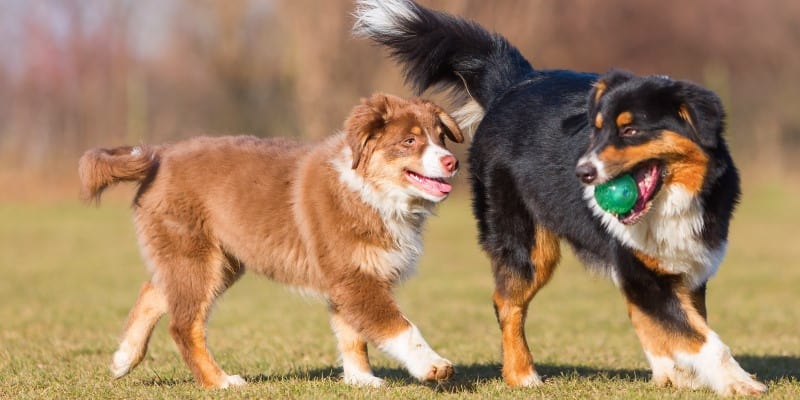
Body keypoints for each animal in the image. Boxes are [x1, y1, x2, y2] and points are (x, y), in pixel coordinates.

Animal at [78, 93, 466, 388]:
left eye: (440, 137)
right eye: (410, 141)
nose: (452, 162)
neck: (371, 192)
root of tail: (158, 155)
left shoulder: (347, 279)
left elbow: (351, 335)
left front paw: (361, 380)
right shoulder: (355, 278)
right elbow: (399, 327)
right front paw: (433, 365)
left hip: (215, 260)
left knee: (154, 291)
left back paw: (123, 358)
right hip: (195, 256)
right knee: (184, 325)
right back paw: (220, 382)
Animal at [354, 0, 764, 396]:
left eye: (630, 130)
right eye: (596, 131)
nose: (582, 173)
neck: (667, 203)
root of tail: (515, 82)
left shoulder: (686, 267)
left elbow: (685, 327)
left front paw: (694, 374)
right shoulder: (642, 269)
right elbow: (703, 339)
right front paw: (740, 382)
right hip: (528, 246)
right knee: (507, 303)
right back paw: (522, 376)